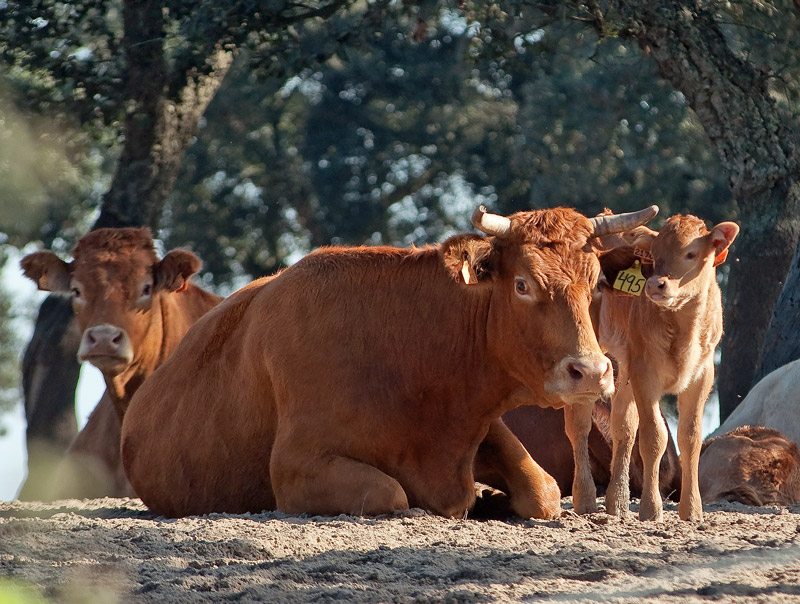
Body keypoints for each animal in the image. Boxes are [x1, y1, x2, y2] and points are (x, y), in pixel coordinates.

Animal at [119, 203, 656, 520]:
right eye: (522, 284)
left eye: (596, 282)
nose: (591, 372)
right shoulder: (296, 466)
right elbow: (389, 494)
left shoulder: (484, 426)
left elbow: (543, 492)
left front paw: (492, 496)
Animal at [592, 212, 736, 520]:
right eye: (654, 255)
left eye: (691, 253)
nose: (655, 284)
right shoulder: (645, 375)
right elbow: (654, 435)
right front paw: (650, 508)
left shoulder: (703, 375)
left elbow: (690, 437)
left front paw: (692, 509)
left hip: (624, 368)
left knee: (623, 424)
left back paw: (617, 502)